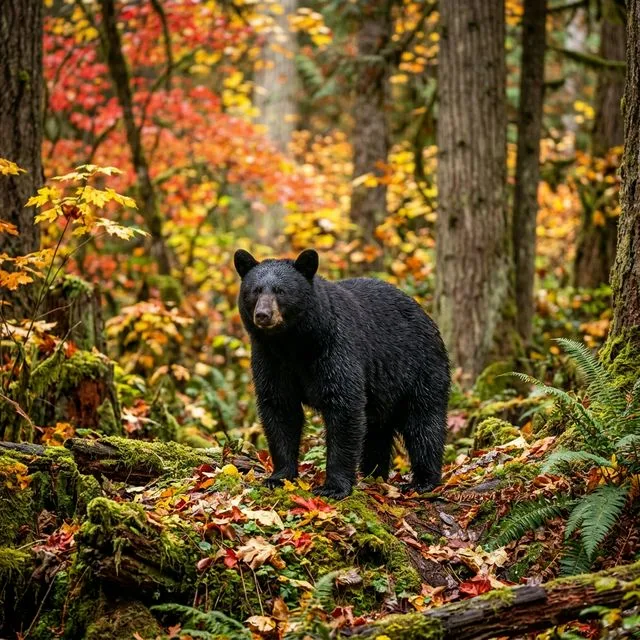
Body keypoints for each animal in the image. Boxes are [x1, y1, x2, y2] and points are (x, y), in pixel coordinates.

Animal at [234, 248, 450, 499]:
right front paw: (279, 477)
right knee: (376, 432)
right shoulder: (270, 359)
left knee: (424, 422)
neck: (294, 343)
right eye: (255, 290)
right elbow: (280, 408)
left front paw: (334, 486)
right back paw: (373, 474)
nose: (263, 314)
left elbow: (343, 406)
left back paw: (423, 481)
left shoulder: (335, 349)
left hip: (419, 369)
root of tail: (426, 315)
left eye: (281, 290)